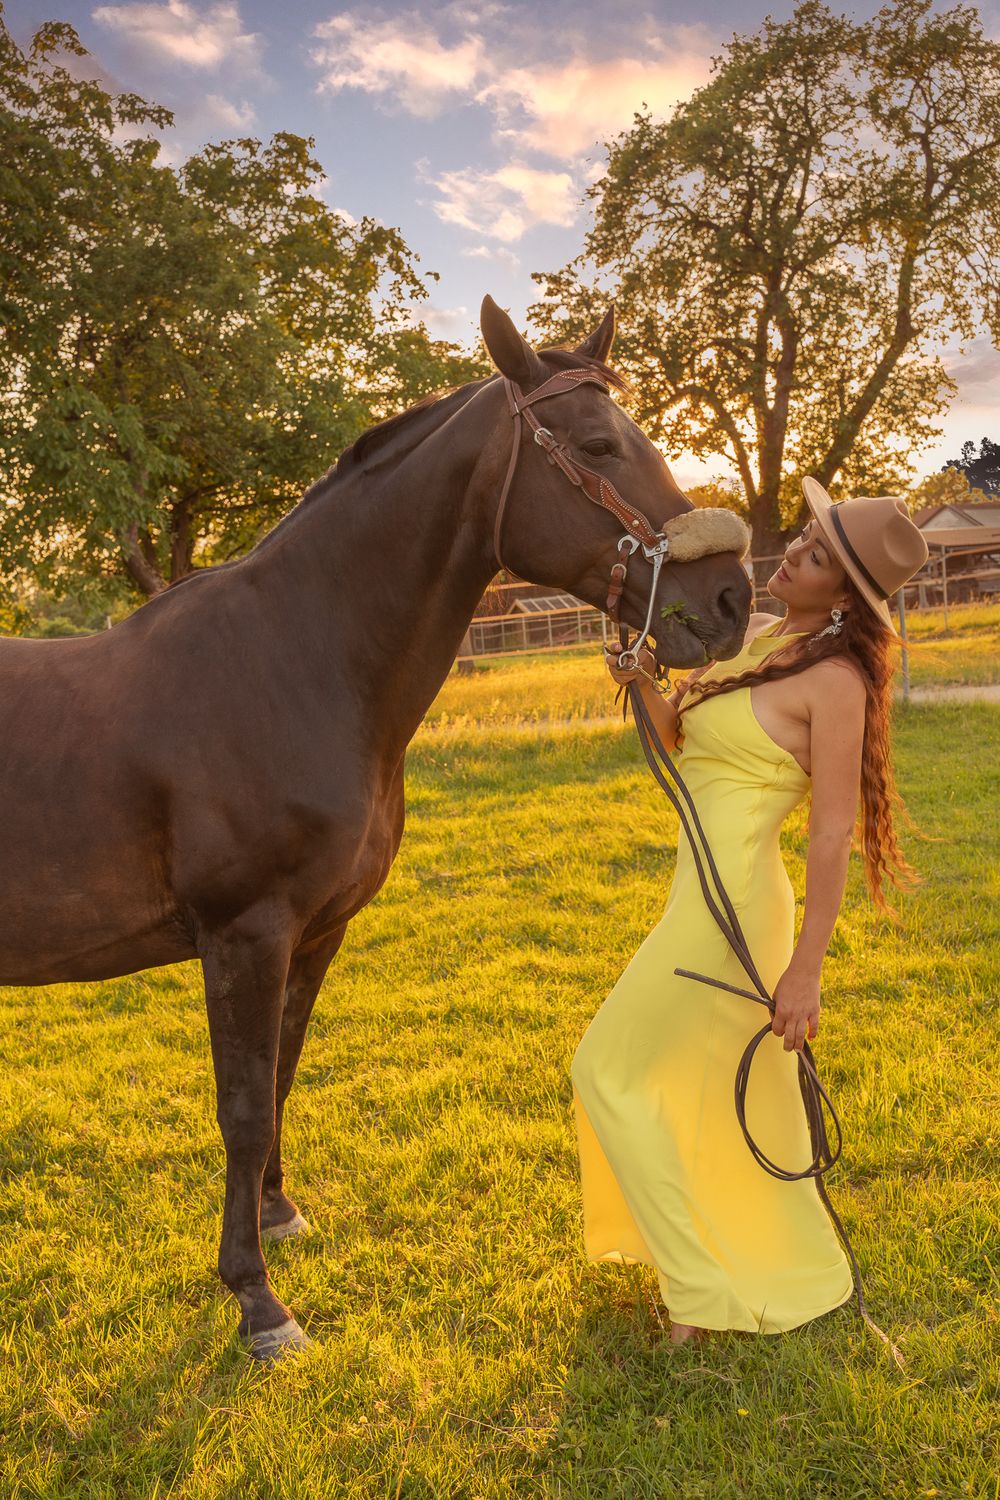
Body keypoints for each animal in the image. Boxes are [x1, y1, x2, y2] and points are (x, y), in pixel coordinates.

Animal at [0, 296, 752, 1358]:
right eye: (600, 444)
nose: (730, 598)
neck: (297, 663)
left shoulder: (314, 933)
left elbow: (280, 1079)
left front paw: (277, 1217)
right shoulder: (244, 934)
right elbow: (241, 1106)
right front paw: (257, 1301)